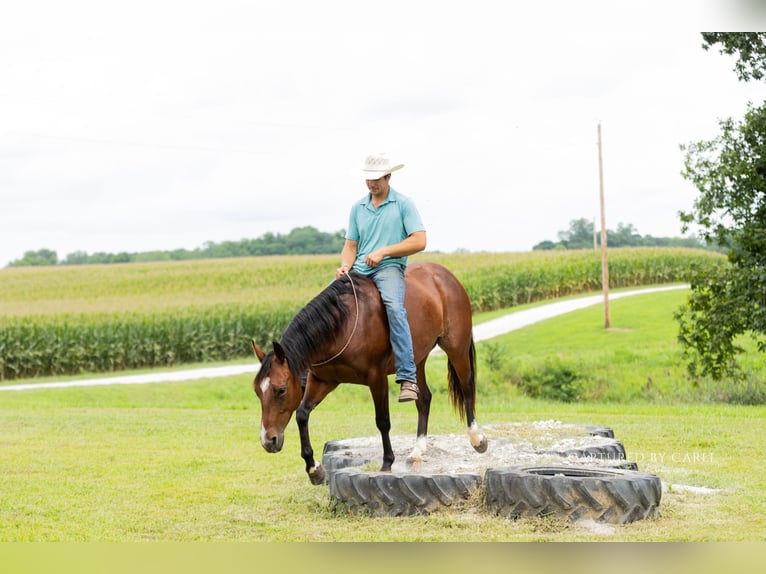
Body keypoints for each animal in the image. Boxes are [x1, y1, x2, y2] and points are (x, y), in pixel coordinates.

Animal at [251, 261, 488, 485]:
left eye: (281, 390)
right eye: (257, 392)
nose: (268, 441)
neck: (341, 325)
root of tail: (445, 275)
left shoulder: (377, 378)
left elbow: (382, 420)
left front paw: (387, 462)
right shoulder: (322, 380)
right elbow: (301, 414)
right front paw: (314, 469)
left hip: (456, 347)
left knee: (467, 387)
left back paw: (477, 439)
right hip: (416, 360)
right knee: (424, 399)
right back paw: (417, 451)